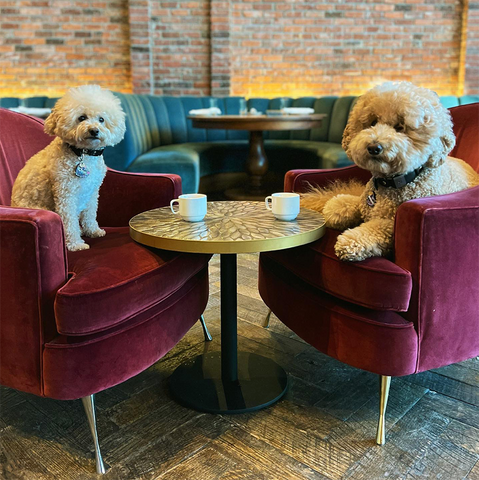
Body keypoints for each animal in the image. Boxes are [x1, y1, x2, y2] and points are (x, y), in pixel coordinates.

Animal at [12, 85, 126, 251]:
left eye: (101, 119)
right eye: (82, 118)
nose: (94, 130)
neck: (83, 153)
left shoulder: (92, 193)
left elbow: (90, 214)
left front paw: (93, 231)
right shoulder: (66, 194)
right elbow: (69, 221)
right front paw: (75, 244)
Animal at [304, 82, 479, 262]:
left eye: (400, 127)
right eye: (373, 122)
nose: (374, 147)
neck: (389, 183)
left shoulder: (391, 224)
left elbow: (377, 228)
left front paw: (350, 241)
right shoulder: (363, 204)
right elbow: (345, 204)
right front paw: (334, 209)